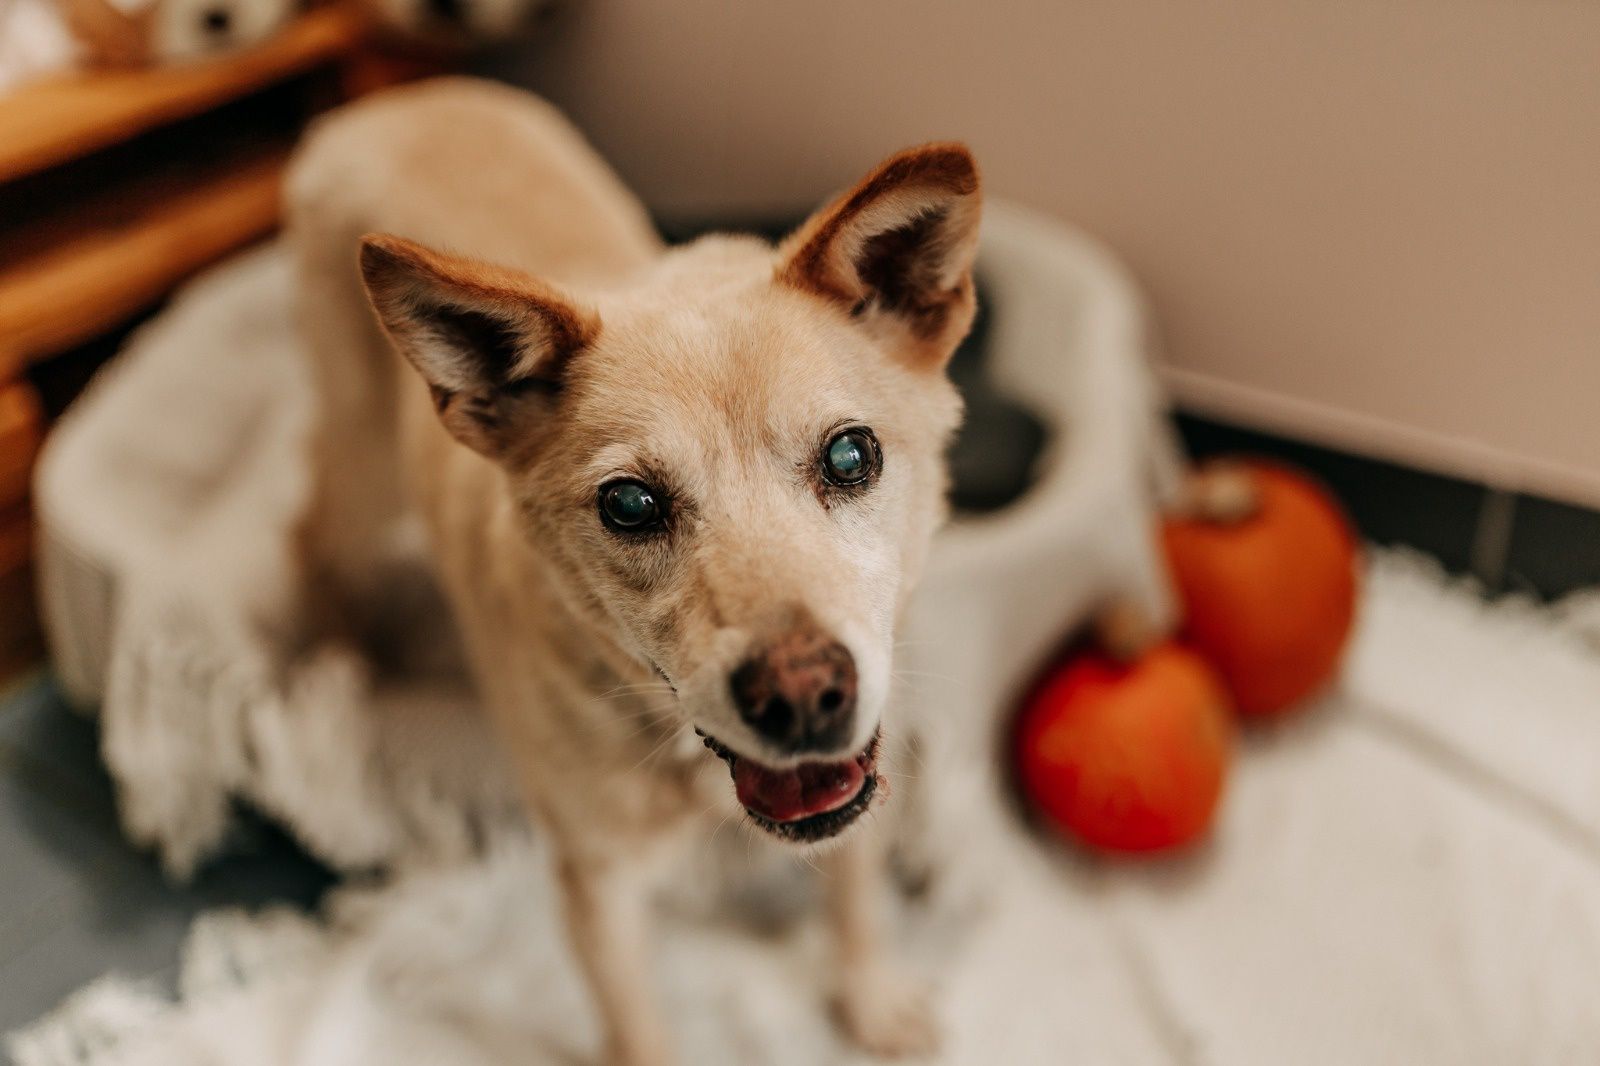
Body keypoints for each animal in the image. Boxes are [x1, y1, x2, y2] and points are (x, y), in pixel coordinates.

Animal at [286, 78, 972, 1056]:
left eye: (850, 456)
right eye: (631, 506)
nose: (804, 697)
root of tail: (394, 99)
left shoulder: (866, 765)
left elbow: (855, 897)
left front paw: (870, 1000)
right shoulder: (594, 882)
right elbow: (636, 1029)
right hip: (359, 477)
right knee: (306, 530)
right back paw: (338, 652)